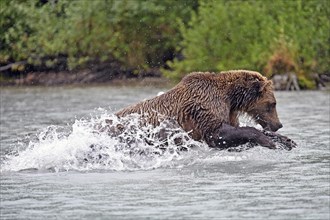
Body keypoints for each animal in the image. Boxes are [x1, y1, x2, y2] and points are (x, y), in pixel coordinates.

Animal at [115, 70, 294, 150]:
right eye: (273, 103)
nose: (278, 124)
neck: (231, 98)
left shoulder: (229, 112)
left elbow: (235, 131)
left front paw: (287, 140)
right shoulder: (204, 107)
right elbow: (218, 133)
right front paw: (268, 141)